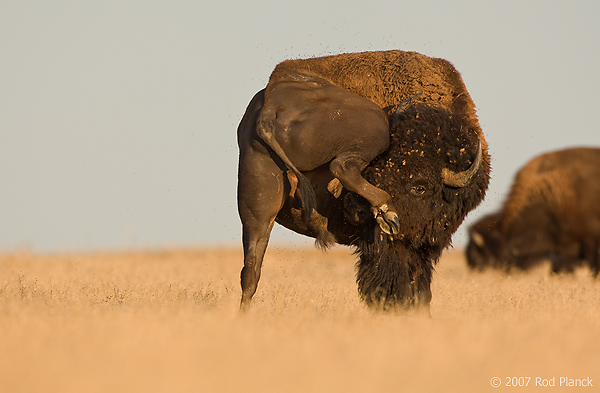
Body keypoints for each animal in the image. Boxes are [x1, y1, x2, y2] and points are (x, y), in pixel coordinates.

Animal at [237, 49, 490, 310]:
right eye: (376, 172)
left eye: (420, 187)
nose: (356, 209)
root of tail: (272, 101)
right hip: (375, 125)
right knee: (342, 166)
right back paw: (387, 211)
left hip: (258, 201)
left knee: (251, 269)